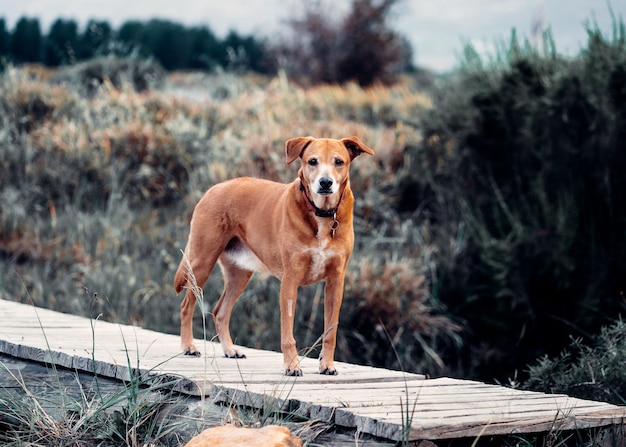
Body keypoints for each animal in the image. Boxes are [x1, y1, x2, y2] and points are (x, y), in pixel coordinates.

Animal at [173, 136, 372, 374]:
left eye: (339, 162)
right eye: (312, 161)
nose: (325, 183)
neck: (321, 214)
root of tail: (214, 187)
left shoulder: (335, 282)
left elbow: (330, 331)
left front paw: (327, 364)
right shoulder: (290, 280)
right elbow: (288, 333)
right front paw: (292, 365)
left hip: (239, 274)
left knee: (220, 311)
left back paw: (230, 350)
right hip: (201, 264)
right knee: (187, 305)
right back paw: (188, 346)